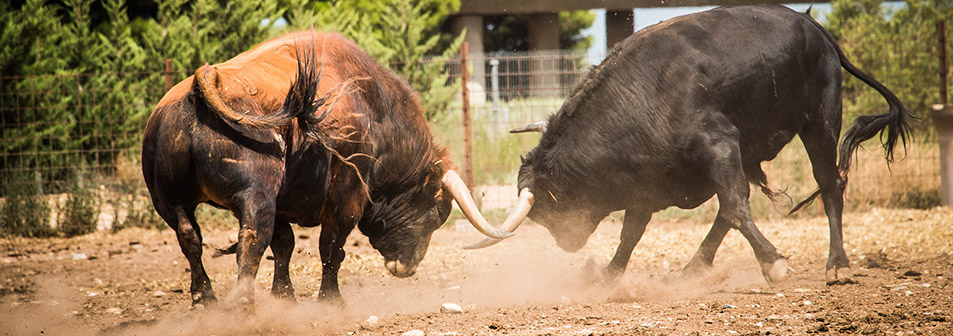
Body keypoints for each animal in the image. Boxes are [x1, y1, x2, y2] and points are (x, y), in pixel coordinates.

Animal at [472, 5, 912, 284]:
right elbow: (633, 231)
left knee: (829, 185)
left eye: (548, 207)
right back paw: (696, 266)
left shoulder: (719, 144)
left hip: (819, 122)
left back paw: (837, 265)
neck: (639, 96)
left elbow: (735, 206)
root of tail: (817, 29)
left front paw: (773, 264)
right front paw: (609, 275)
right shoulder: (647, 181)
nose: (565, 243)